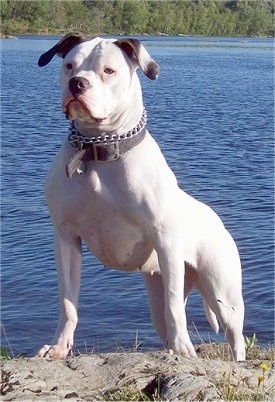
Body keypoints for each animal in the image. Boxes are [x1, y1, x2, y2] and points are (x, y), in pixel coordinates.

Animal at [36, 33, 246, 362]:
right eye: (69, 66)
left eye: (108, 70)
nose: (77, 83)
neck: (99, 149)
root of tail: (216, 220)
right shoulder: (66, 238)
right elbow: (68, 303)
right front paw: (58, 346)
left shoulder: (165, 241)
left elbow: (174, 308)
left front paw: (184, 349)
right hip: (161, 293)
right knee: (165, 320)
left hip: (223, 294)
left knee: (235, 337)